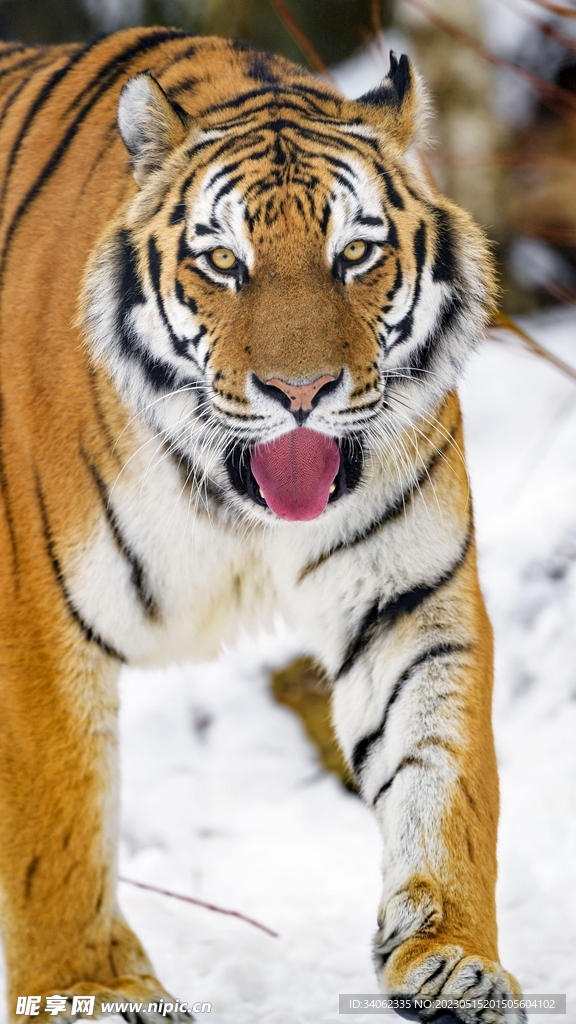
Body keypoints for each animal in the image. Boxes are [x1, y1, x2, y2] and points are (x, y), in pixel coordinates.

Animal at [0, 26, 525, 1024]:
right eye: (222, 263)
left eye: (354, 254)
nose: (301, 392)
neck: (231, 505)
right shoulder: (36, 624)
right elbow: (60, 824)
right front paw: (87, 987)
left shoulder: (410, 599)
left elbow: (444, 775)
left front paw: (451, 957)